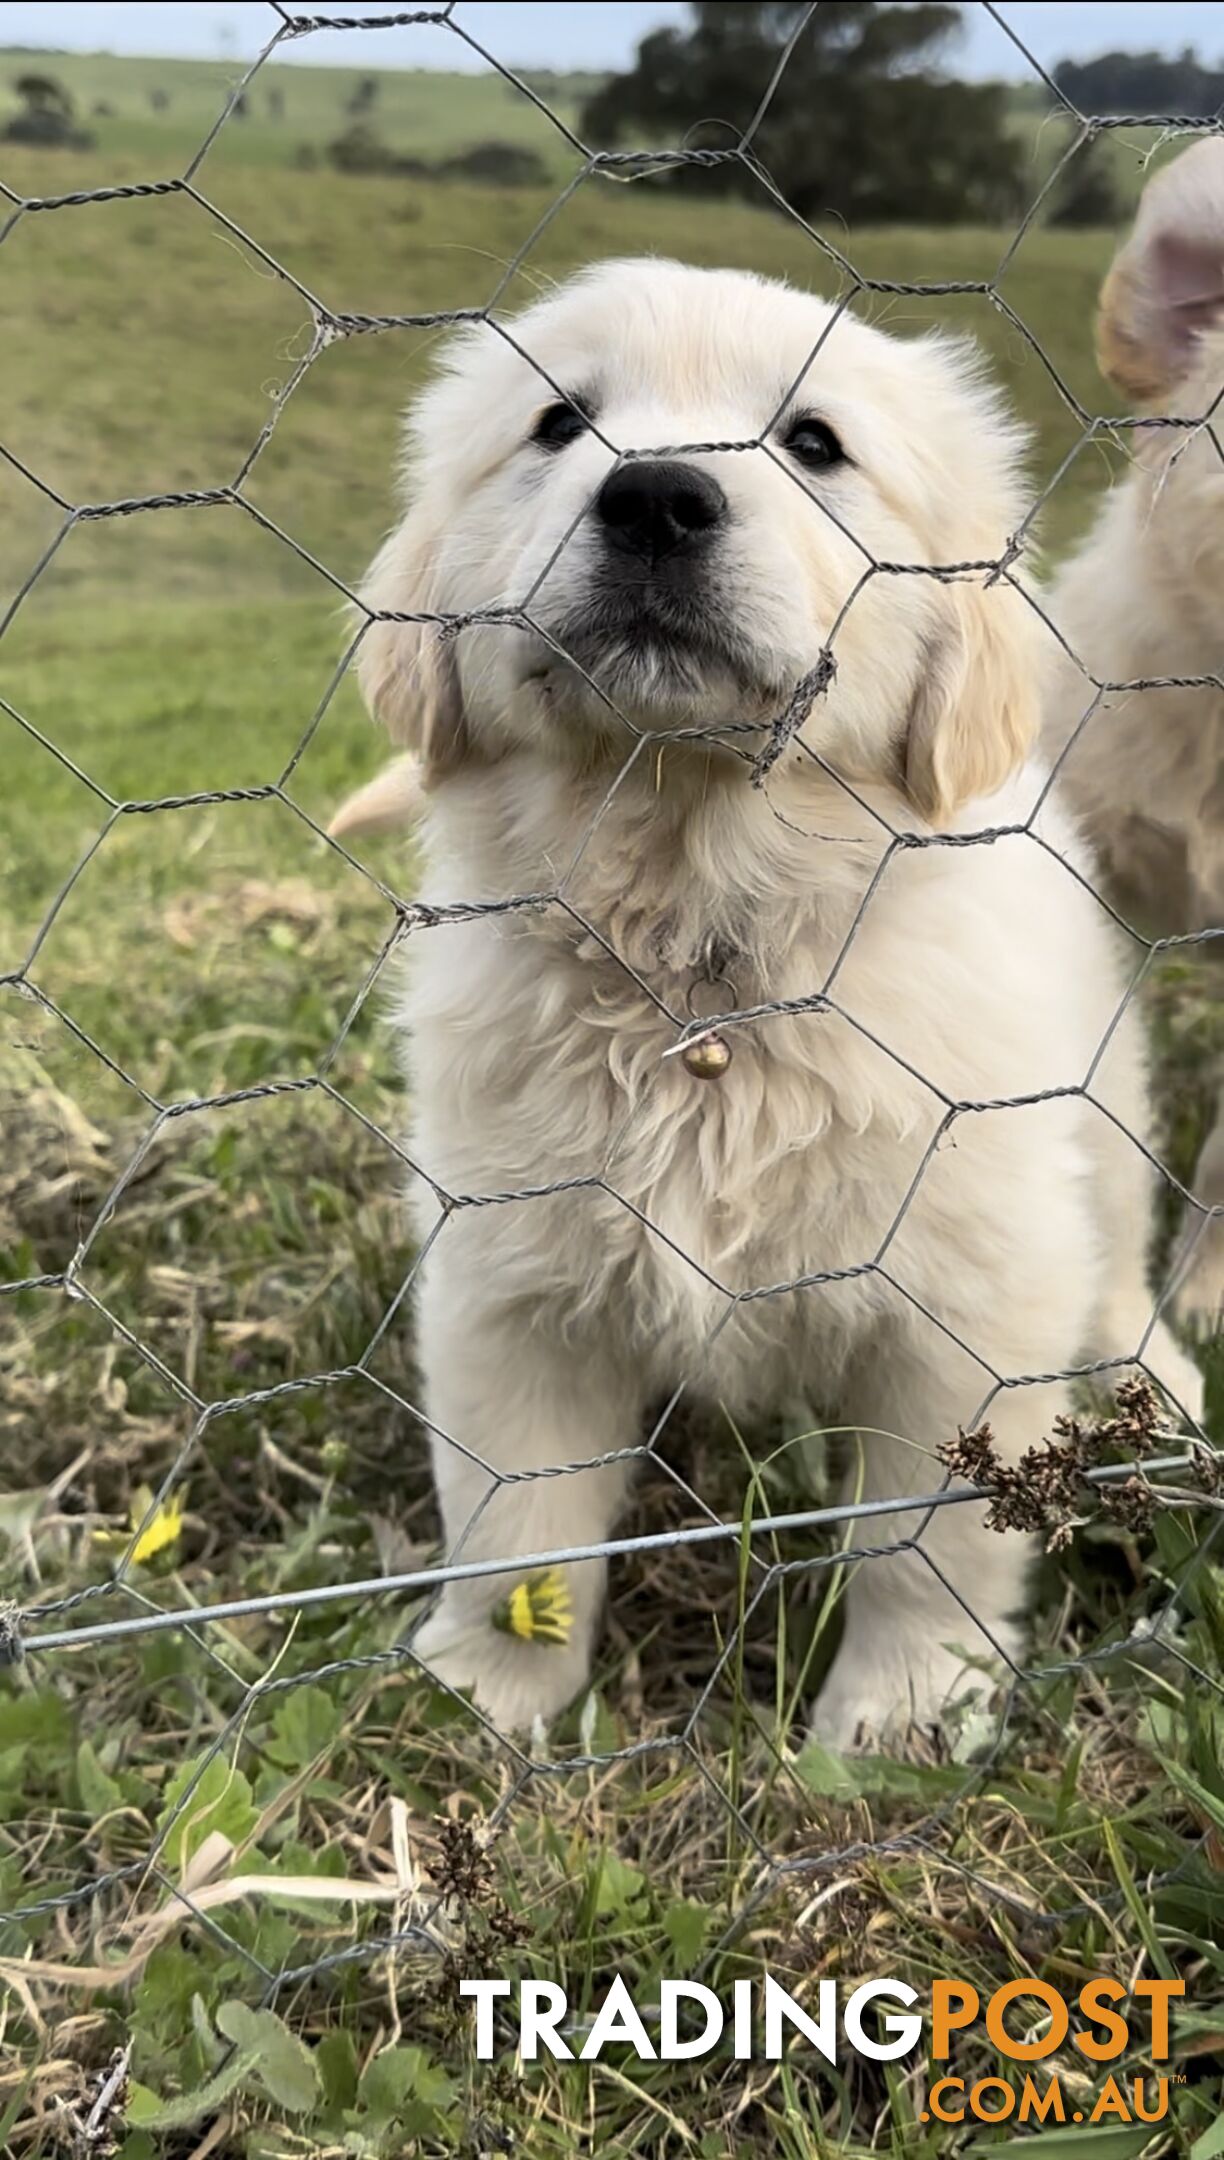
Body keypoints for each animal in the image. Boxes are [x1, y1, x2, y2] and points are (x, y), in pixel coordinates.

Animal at [354, 257, 1208, 1736]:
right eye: (559, 424)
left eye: (815, 444)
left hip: (1093, 1124)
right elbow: (519, 1524)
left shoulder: (967, 1302)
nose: (655, 497)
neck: (708, 954)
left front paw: (901, 1719)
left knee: (1111, 1270)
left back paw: (1160, 1385)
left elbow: (928, 1544)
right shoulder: (507, 1282)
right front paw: (485, 1700)